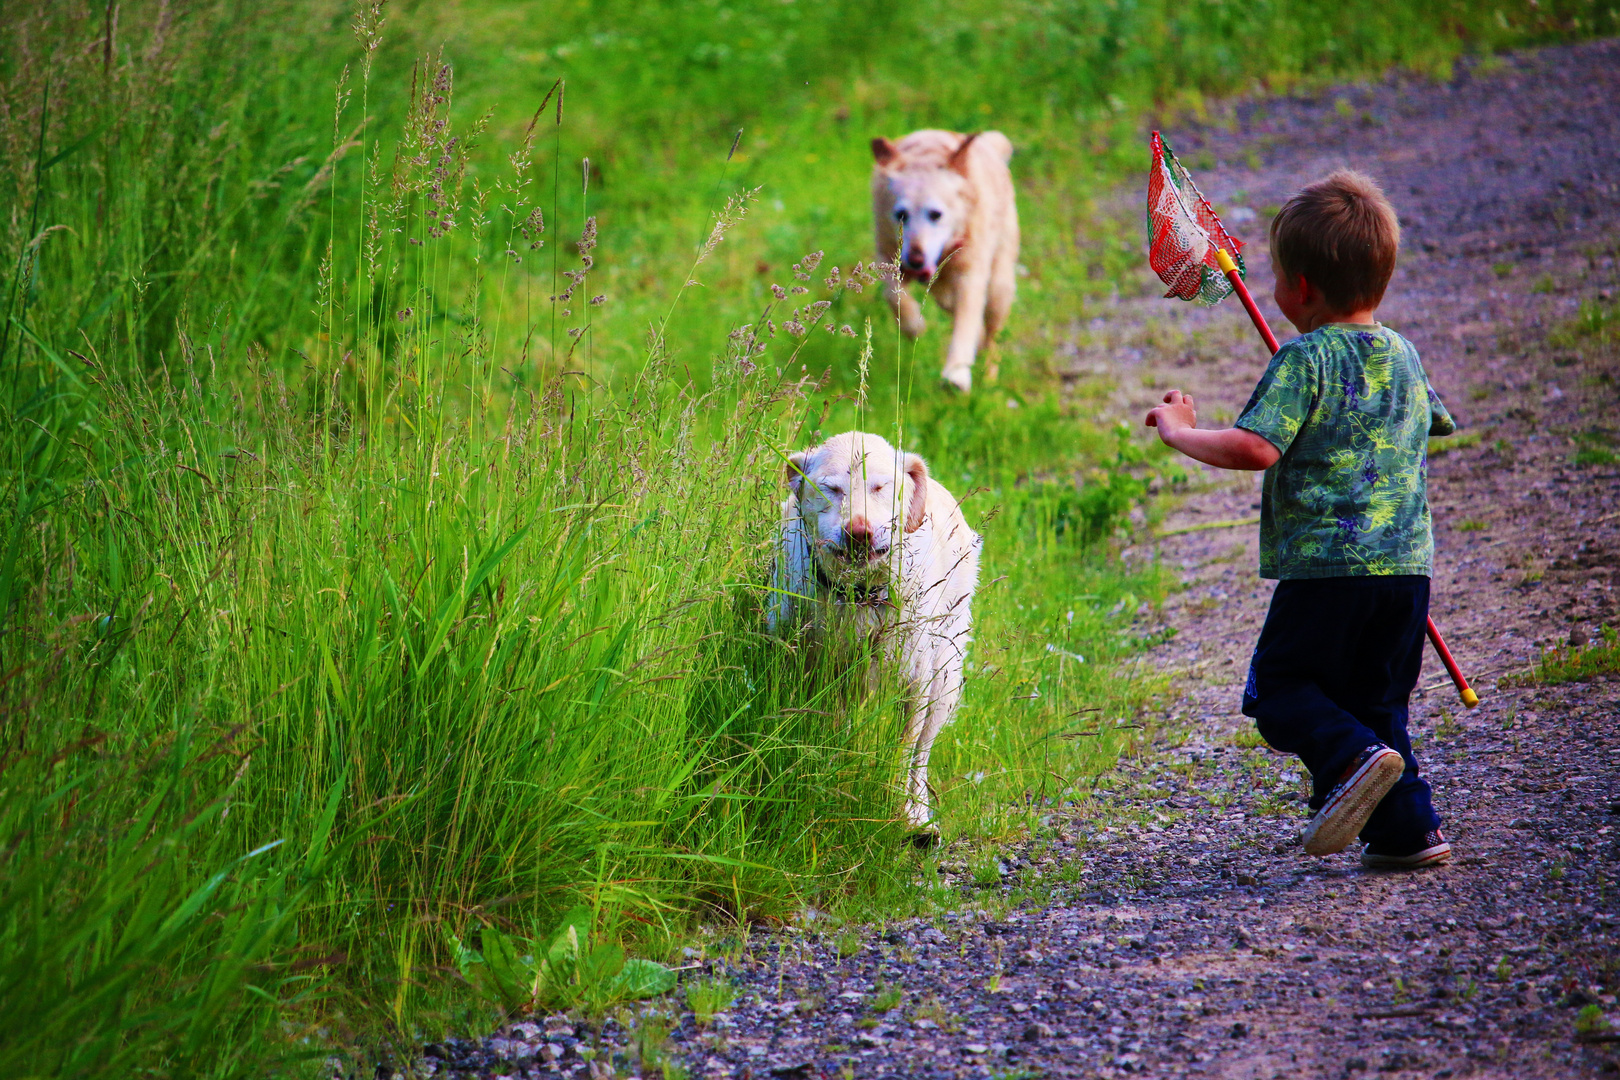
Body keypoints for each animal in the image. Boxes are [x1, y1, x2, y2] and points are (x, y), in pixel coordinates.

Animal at [767, 433, 978, 835]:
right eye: (832, 489)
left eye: (881, 487)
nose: (859, 533)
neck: (860, 595)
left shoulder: (916, 680)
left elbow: (903, 750)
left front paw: (901, 813)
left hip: (945, 680)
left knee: (921, 758)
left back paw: (920, 818)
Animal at [874, 131, 1010, 393]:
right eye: (901, 214)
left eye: (935, 214)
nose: (916, 260)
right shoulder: (888, 258)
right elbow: (894, 297)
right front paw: (914, 325)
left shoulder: (970, 276)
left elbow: (966, 322)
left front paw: (956, 374)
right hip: (945, 294)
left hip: (999, 289)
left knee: (992, 337)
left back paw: (989, 375)